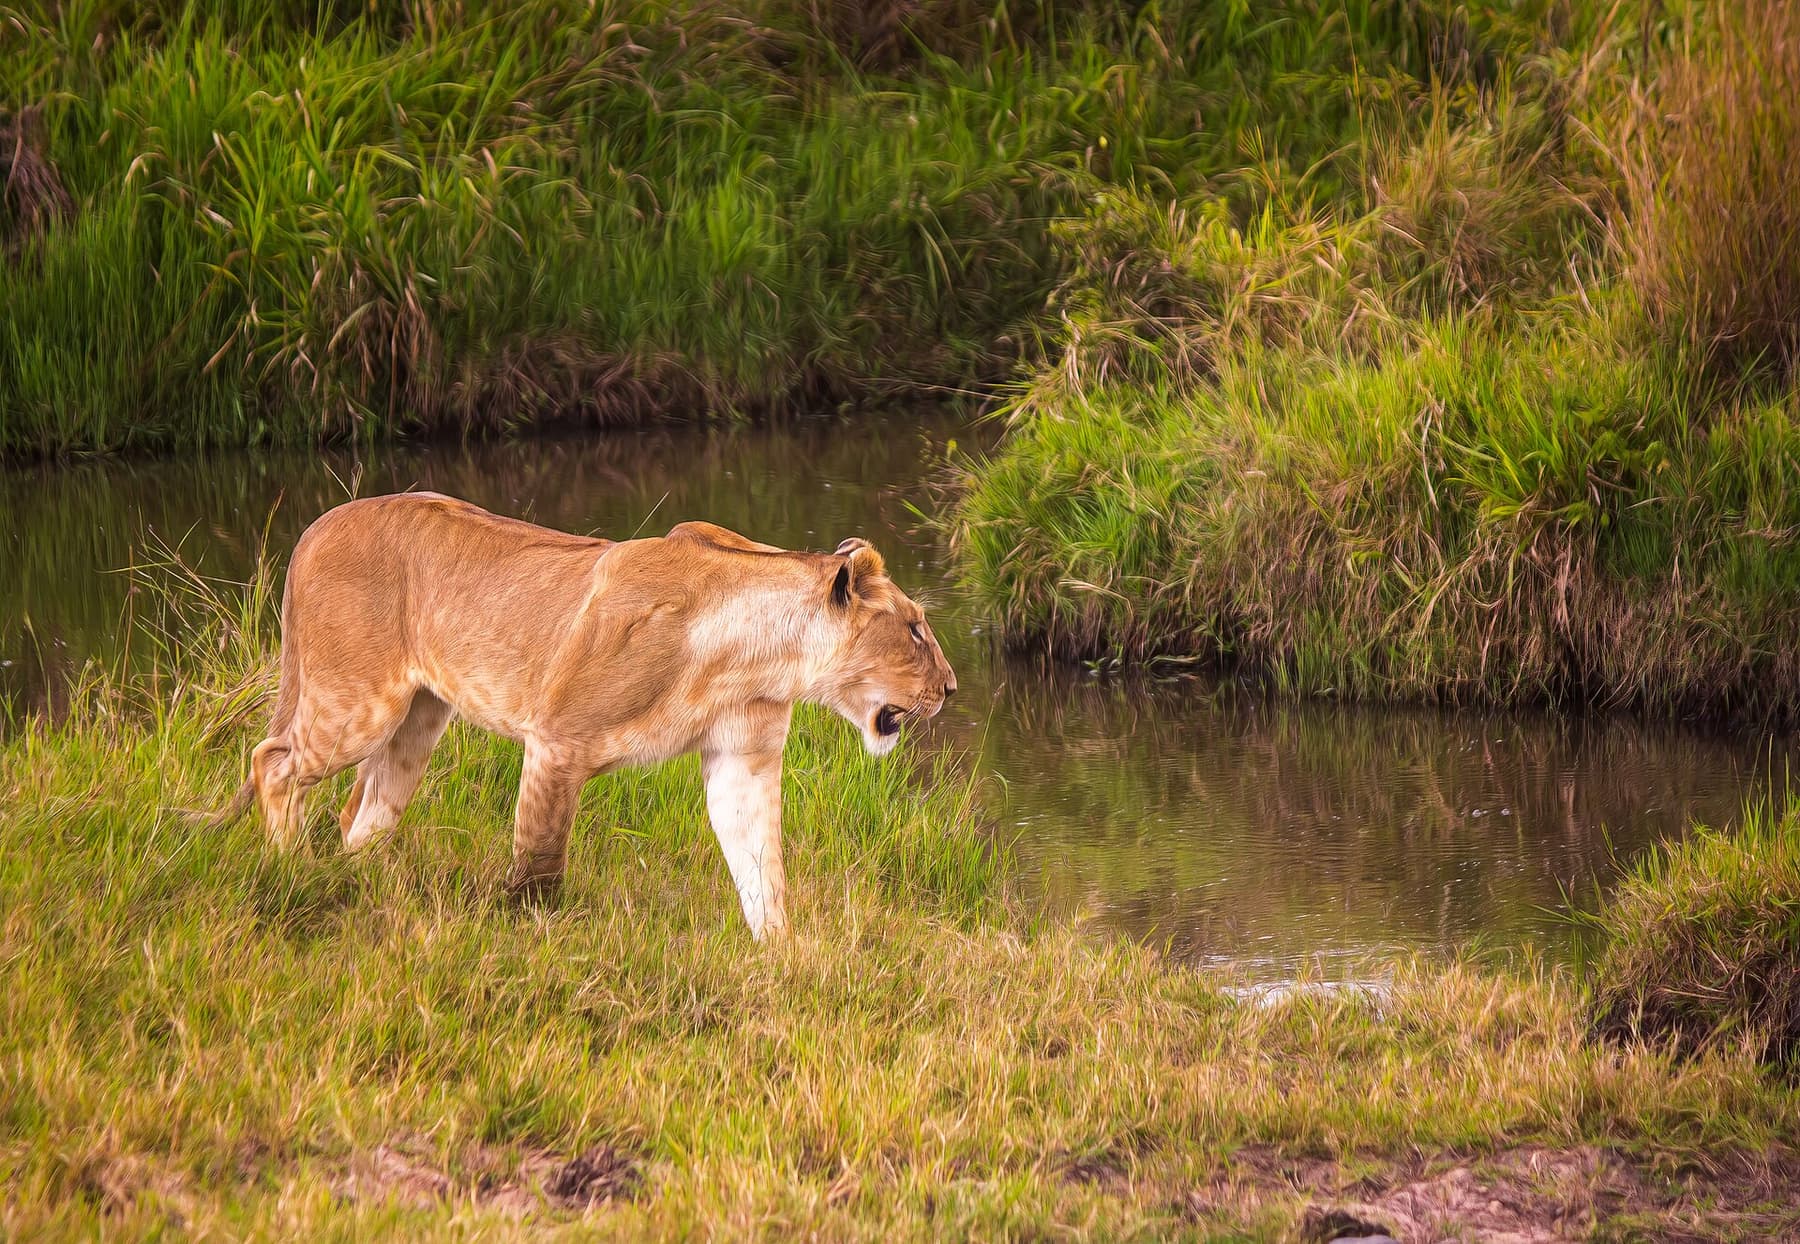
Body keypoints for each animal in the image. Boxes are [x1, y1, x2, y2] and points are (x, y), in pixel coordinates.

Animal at [216, 492, 957, 938]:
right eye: (916, 629)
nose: (951, 688)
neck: (759, 658)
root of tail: (317, 525)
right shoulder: (557, 740)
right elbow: (540, 861)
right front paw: (526, 934)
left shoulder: (742, 759)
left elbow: (761, 869)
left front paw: (784, 957)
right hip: (359, 704)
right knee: (272, 762)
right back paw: (291, 873)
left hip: (418, 720)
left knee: (363, 811)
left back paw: (356, 886)